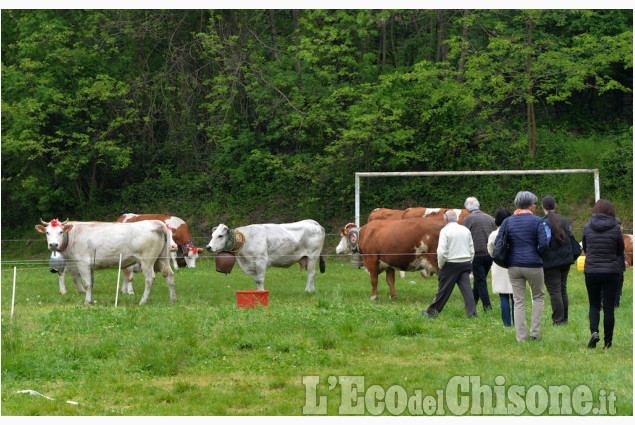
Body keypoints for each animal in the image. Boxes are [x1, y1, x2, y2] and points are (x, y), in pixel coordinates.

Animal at [37, 219, 176, 304]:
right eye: (47, 232)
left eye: (60, 232)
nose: (53, 245)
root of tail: (156, 222)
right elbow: (91, 283)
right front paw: (90, 300)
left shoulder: (83, 263)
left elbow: (87, 283)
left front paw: (87, 302)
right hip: (163, 259)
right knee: (169, 275)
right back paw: (173, 299)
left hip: (147, 261)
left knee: (149, 278)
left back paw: (142, 301)